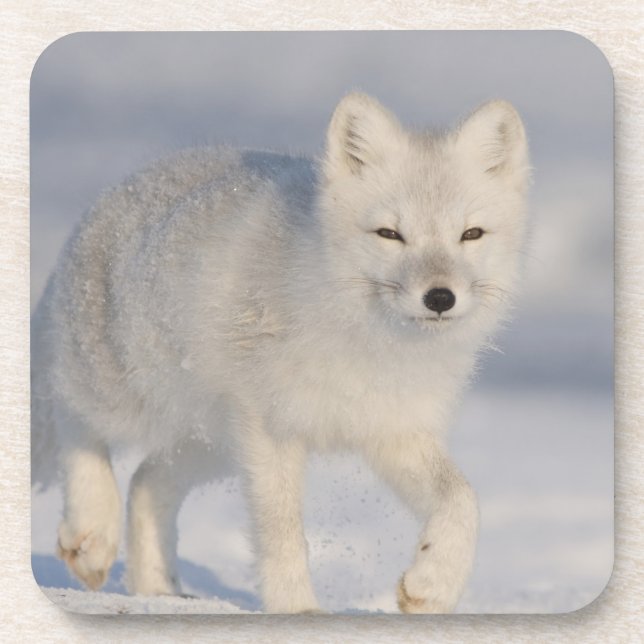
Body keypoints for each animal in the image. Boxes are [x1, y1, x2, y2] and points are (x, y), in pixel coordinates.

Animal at [31, 92, 530, 613]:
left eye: (471, 234)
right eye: (390, 234)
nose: (439, 298)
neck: (368, 341)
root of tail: (114, 193)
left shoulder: (392, 430)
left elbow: (463, 500)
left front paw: (433, 584)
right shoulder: (272, 429)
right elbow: (283, 532)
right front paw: (296, 610)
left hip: (214, 443)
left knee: (147, 482)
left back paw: (158, 590)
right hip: (126, 394)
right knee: (72, 416)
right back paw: (92, 530)